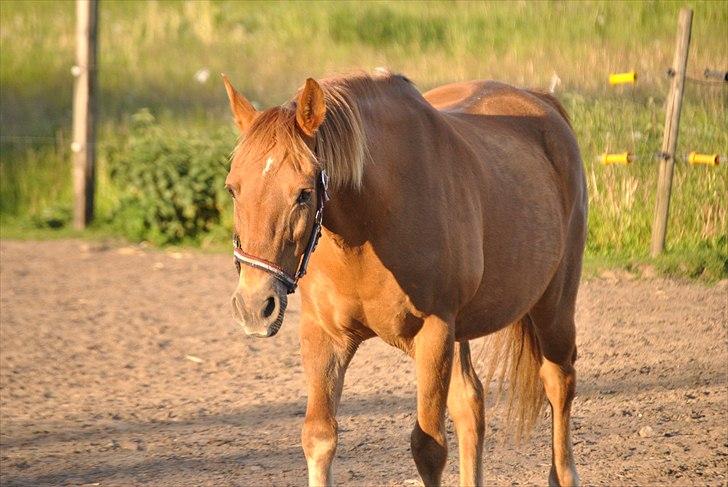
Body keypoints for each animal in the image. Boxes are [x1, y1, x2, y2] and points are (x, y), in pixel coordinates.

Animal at [222, 69, 586, 487]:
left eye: (303, 193)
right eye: (232, 189)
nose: (254, 306)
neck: (369, 223)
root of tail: (541, 102)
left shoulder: (434, 332)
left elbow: (428, 447)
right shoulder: (324, 336)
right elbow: (318, 437)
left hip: (553, 307)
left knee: (558, 382)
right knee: (471, 403)